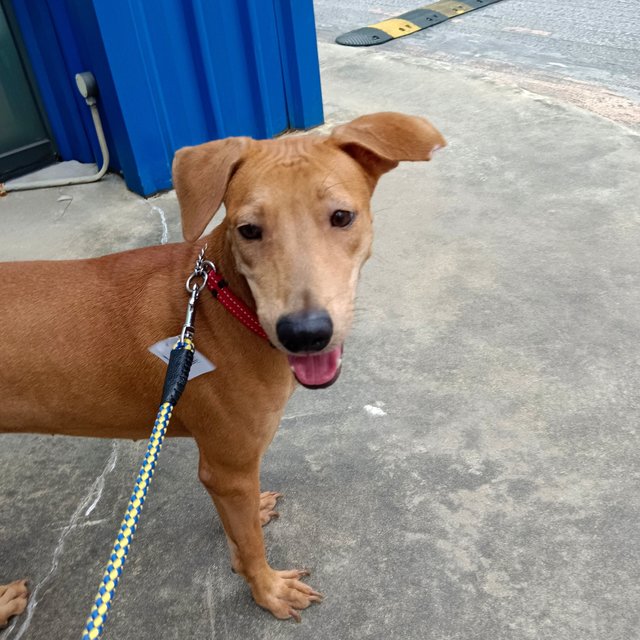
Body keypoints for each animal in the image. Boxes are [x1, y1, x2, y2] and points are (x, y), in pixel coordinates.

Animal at [0, 112, 442, 624]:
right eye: (248, 229)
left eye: (341, 217)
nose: (305, 333)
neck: (221, 301)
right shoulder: (230, 466)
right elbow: (252, 547)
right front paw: (268, 590)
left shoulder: (224, 471)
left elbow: (239, 528)